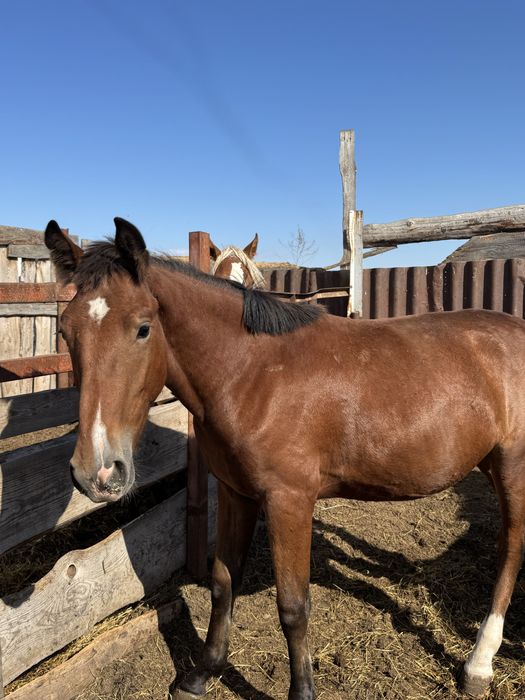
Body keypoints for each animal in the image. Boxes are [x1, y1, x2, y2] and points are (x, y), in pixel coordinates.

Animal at [45, 217, 525, 700]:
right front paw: (201, 674)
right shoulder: (236, 493)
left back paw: (479, 662)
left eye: (143, 328)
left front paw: (302, 690)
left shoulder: (289, 500)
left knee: (511, 549)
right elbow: (223, 583)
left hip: (513, 469)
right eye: (66, 330)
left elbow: (293, 605)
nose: (98, 472)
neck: (252, 372)